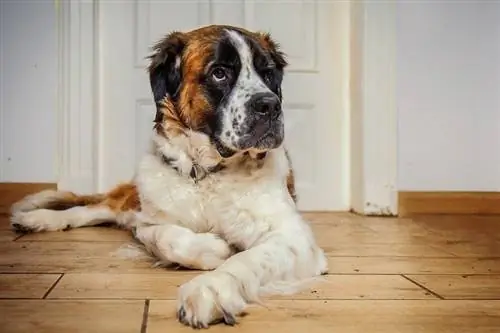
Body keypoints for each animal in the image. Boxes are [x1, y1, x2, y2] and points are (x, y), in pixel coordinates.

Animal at [9, 24, 328, 328]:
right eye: (220, 73)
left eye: (268, 74)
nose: (270, 105)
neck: (208, 174)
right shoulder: (147, 223)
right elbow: (168, 238)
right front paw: (215, 248)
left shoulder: (294, 238)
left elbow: (247, 259)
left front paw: (211, 289)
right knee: (89, 209)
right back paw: (36, 219)